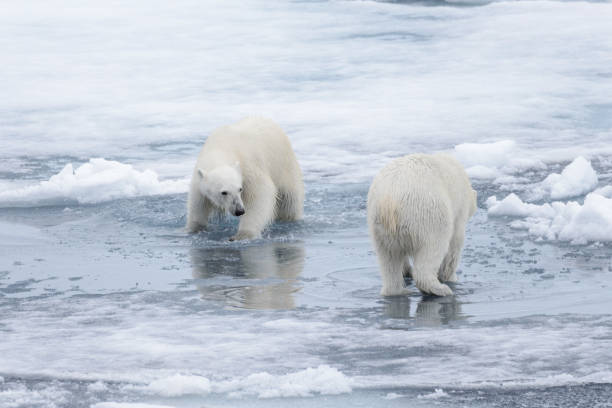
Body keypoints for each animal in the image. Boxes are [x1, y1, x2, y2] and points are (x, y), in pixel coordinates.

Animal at [366, 153, 476, 296]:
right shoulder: (460, 209)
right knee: (433, 248)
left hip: (379, 227)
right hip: (427, 215)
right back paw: (440, 288)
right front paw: (450, 277)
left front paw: (406, 270)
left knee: (388, 258)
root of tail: (389, 201)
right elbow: (455, 243)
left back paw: (397, 290)